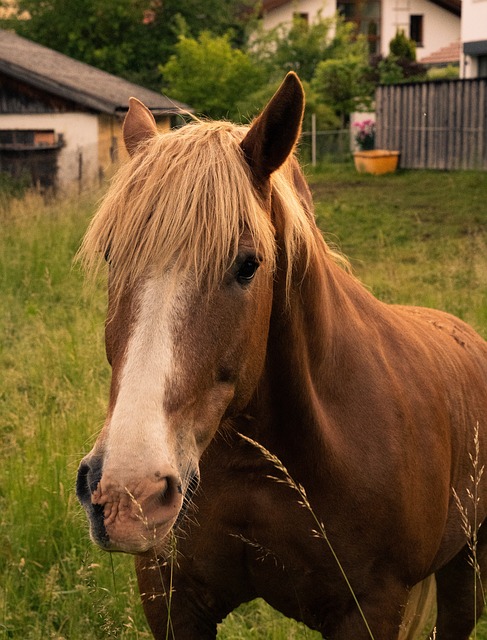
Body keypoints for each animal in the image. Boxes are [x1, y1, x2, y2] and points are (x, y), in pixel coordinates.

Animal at [76, 72, 487, 636]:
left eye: (248, 265)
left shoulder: (373, 609)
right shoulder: (171, 600)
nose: (128, 493)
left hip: (468, 564)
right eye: (112, 255)